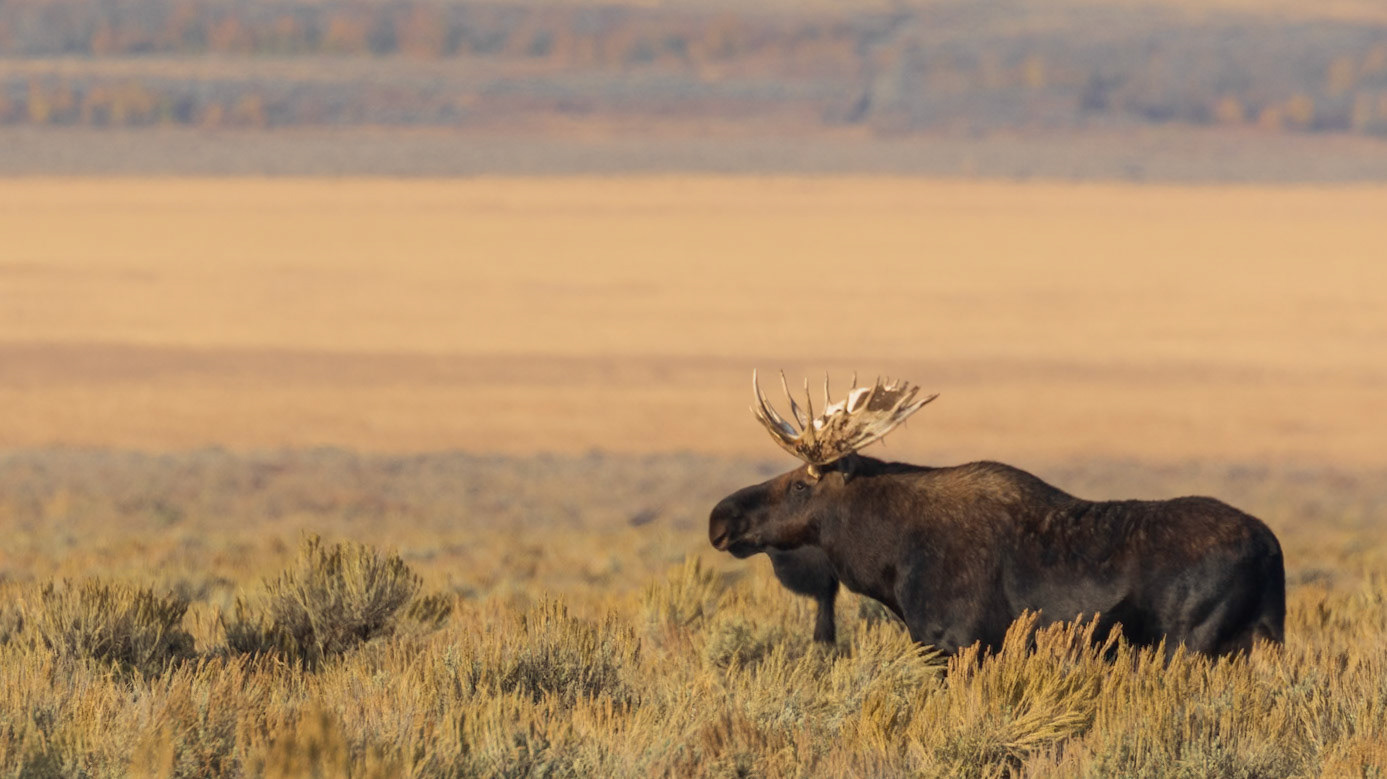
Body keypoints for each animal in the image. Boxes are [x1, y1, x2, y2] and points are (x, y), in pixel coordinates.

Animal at [709, 372, 1285, 657]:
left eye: (802, 483)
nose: (720, 518)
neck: (889, 559)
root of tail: (1272, 549)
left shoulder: (957, 644)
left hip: (1193, 643)